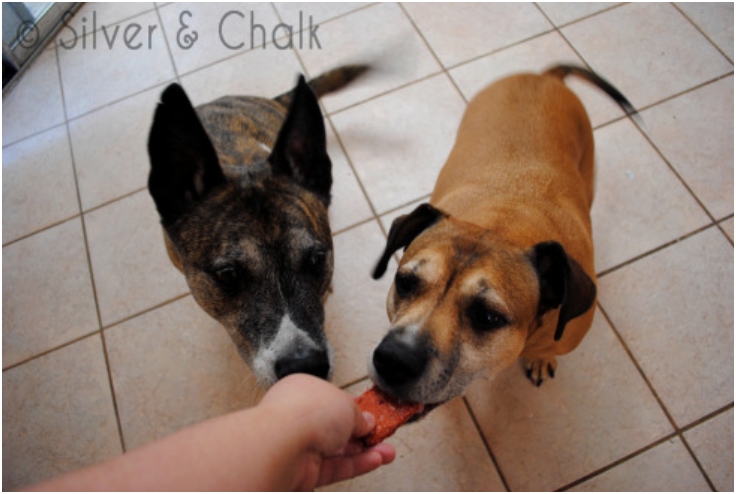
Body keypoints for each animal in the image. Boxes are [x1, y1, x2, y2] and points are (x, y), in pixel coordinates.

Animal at [370, 65, 636, 406]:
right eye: (405, 282)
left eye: (487, 317)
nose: (393, 359)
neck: (502, 223)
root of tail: (544, 76)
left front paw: (541, 358)